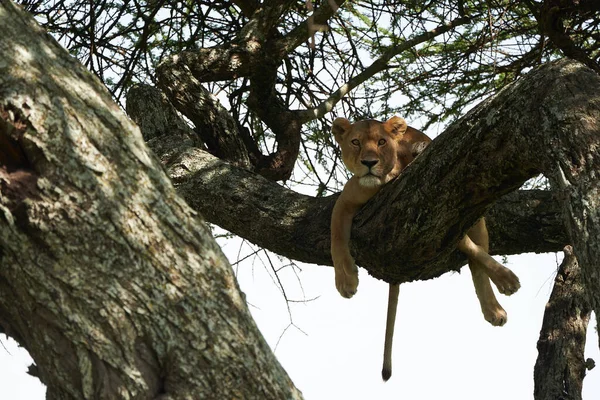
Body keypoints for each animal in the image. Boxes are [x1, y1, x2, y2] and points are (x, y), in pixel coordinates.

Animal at [328, 115, 520, 382]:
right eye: (355, 142)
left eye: (381, 142)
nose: (369, 163)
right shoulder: (347, 199)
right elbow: (336, 237)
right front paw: (346, 281)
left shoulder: (436, 211)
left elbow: (468, 245)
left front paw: (506, 278)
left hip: (473, 211)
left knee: (476, 258)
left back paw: (495, 305)